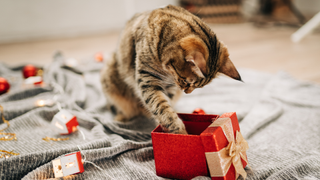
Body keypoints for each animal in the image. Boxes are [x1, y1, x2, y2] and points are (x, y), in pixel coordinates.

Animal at [100, 4, 240, 134]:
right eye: (187, 81)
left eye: (196, 87)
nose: (186, 92)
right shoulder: (148, 80)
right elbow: (160, 107)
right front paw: (179, 131)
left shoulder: (170, 87)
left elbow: (165, 104)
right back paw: (121, 118)